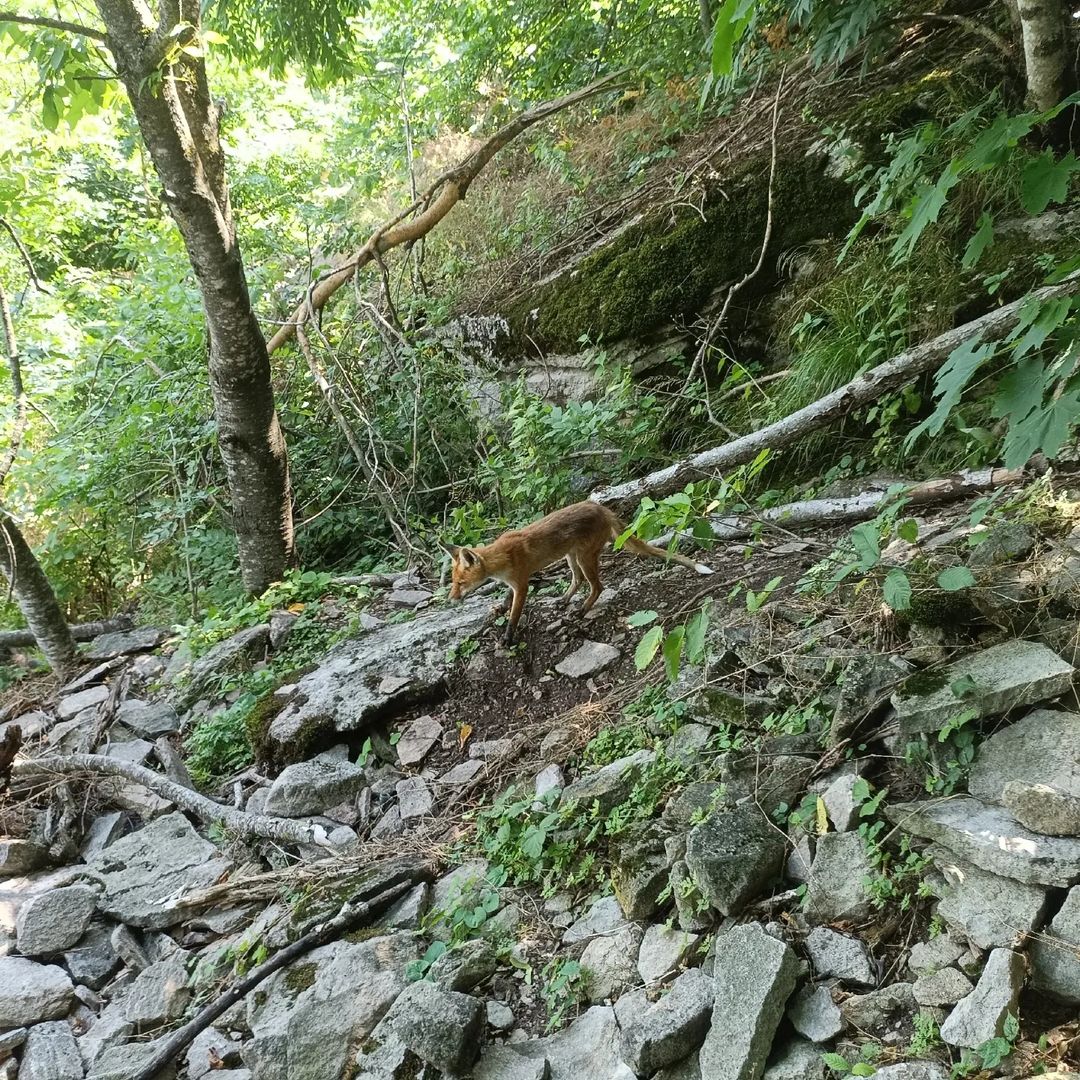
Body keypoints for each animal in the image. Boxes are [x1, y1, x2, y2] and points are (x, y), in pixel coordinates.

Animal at [445, 501, 713, 645]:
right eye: (453, 582)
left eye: (461, 582)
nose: (451, 599)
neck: (503, 557)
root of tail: (601, 507)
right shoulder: (513, 585)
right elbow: (507, 601)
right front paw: (500, 609)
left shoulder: (522, 584)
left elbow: (514, 616)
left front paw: (508, 638)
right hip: (571, 557)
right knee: (578, 580)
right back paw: (565, 601)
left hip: (584, 558)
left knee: (597, 586)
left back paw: (582, 610)